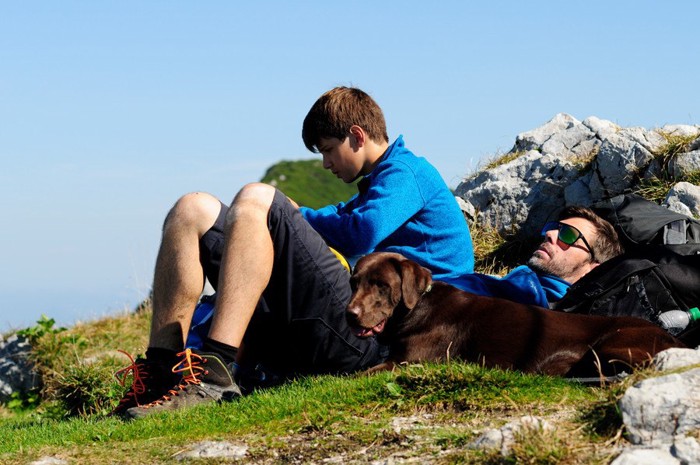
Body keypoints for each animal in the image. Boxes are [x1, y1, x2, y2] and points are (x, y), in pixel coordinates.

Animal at [348, 252, 688, 376]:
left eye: (381, 285)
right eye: (354, 282)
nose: (350, 313)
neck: (418, 306)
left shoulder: (405, 362)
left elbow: (354, 373)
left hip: (610, 347)